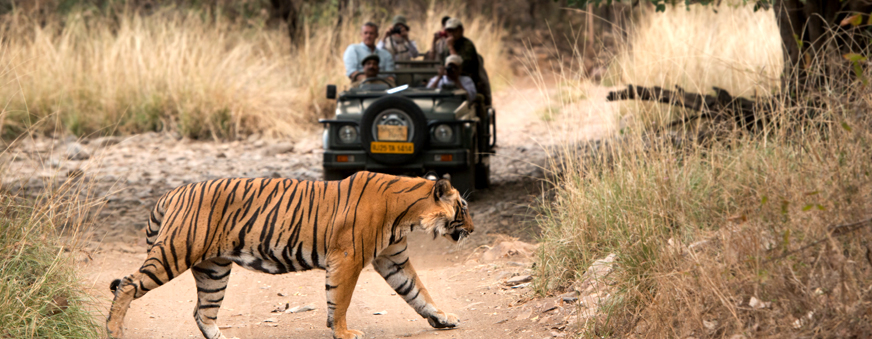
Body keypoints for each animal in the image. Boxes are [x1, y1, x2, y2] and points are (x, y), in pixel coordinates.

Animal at [105, 173, 474, 339]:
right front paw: (344, 332)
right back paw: (112, 330)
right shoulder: (349, 258)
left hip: (213, 270)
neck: (407, 214)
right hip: (175, 251)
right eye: (463, 206)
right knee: (128, 284)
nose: (472, 228)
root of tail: (171, 192)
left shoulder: (392, 259)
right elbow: (341, 300)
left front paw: (442, 318)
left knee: (202, 313)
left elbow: (418, 292)